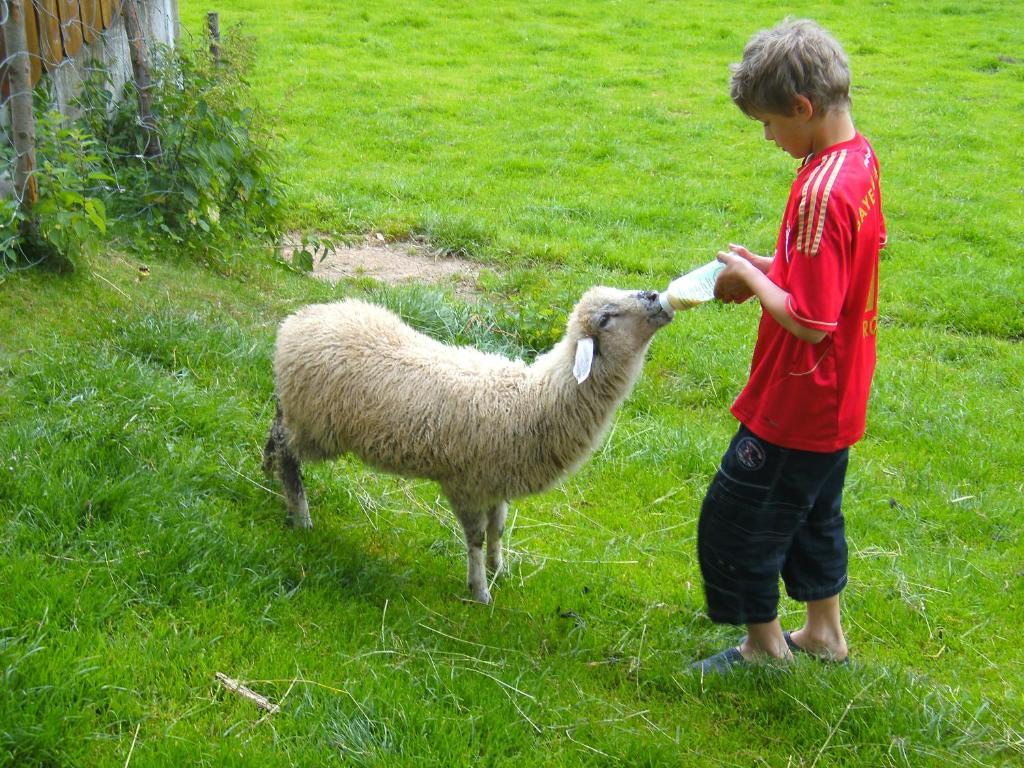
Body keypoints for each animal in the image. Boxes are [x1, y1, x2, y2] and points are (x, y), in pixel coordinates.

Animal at [266, 286, 671, 606]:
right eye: (606, 317)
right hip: (317, 426)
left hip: (298, 411)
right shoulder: (467, 484)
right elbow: (475, 538)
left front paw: (499, 569)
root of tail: (297, 322)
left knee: (275, 431)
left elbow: (497, 530)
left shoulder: (495, 483)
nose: (655, 296)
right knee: (288, 454)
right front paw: (480, 590)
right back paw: (300, 515)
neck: (532, 400)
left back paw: (268, 474)